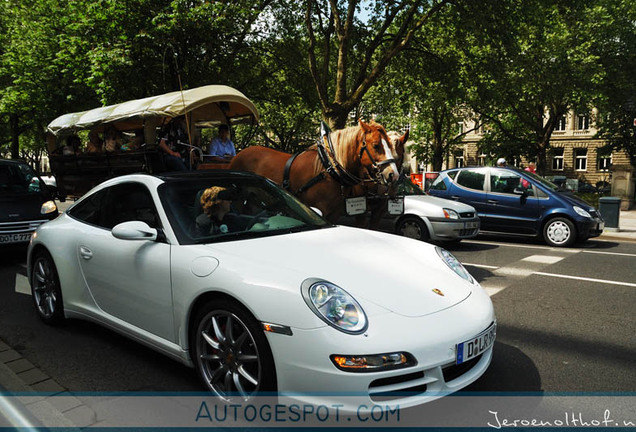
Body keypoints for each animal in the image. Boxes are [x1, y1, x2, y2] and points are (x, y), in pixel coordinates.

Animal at [229, 120, 398, 221]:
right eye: (376, 145)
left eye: (390, 144)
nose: (393, 174)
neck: (328, 170)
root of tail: (240, 153)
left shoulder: (334, 214)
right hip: (237, 199)